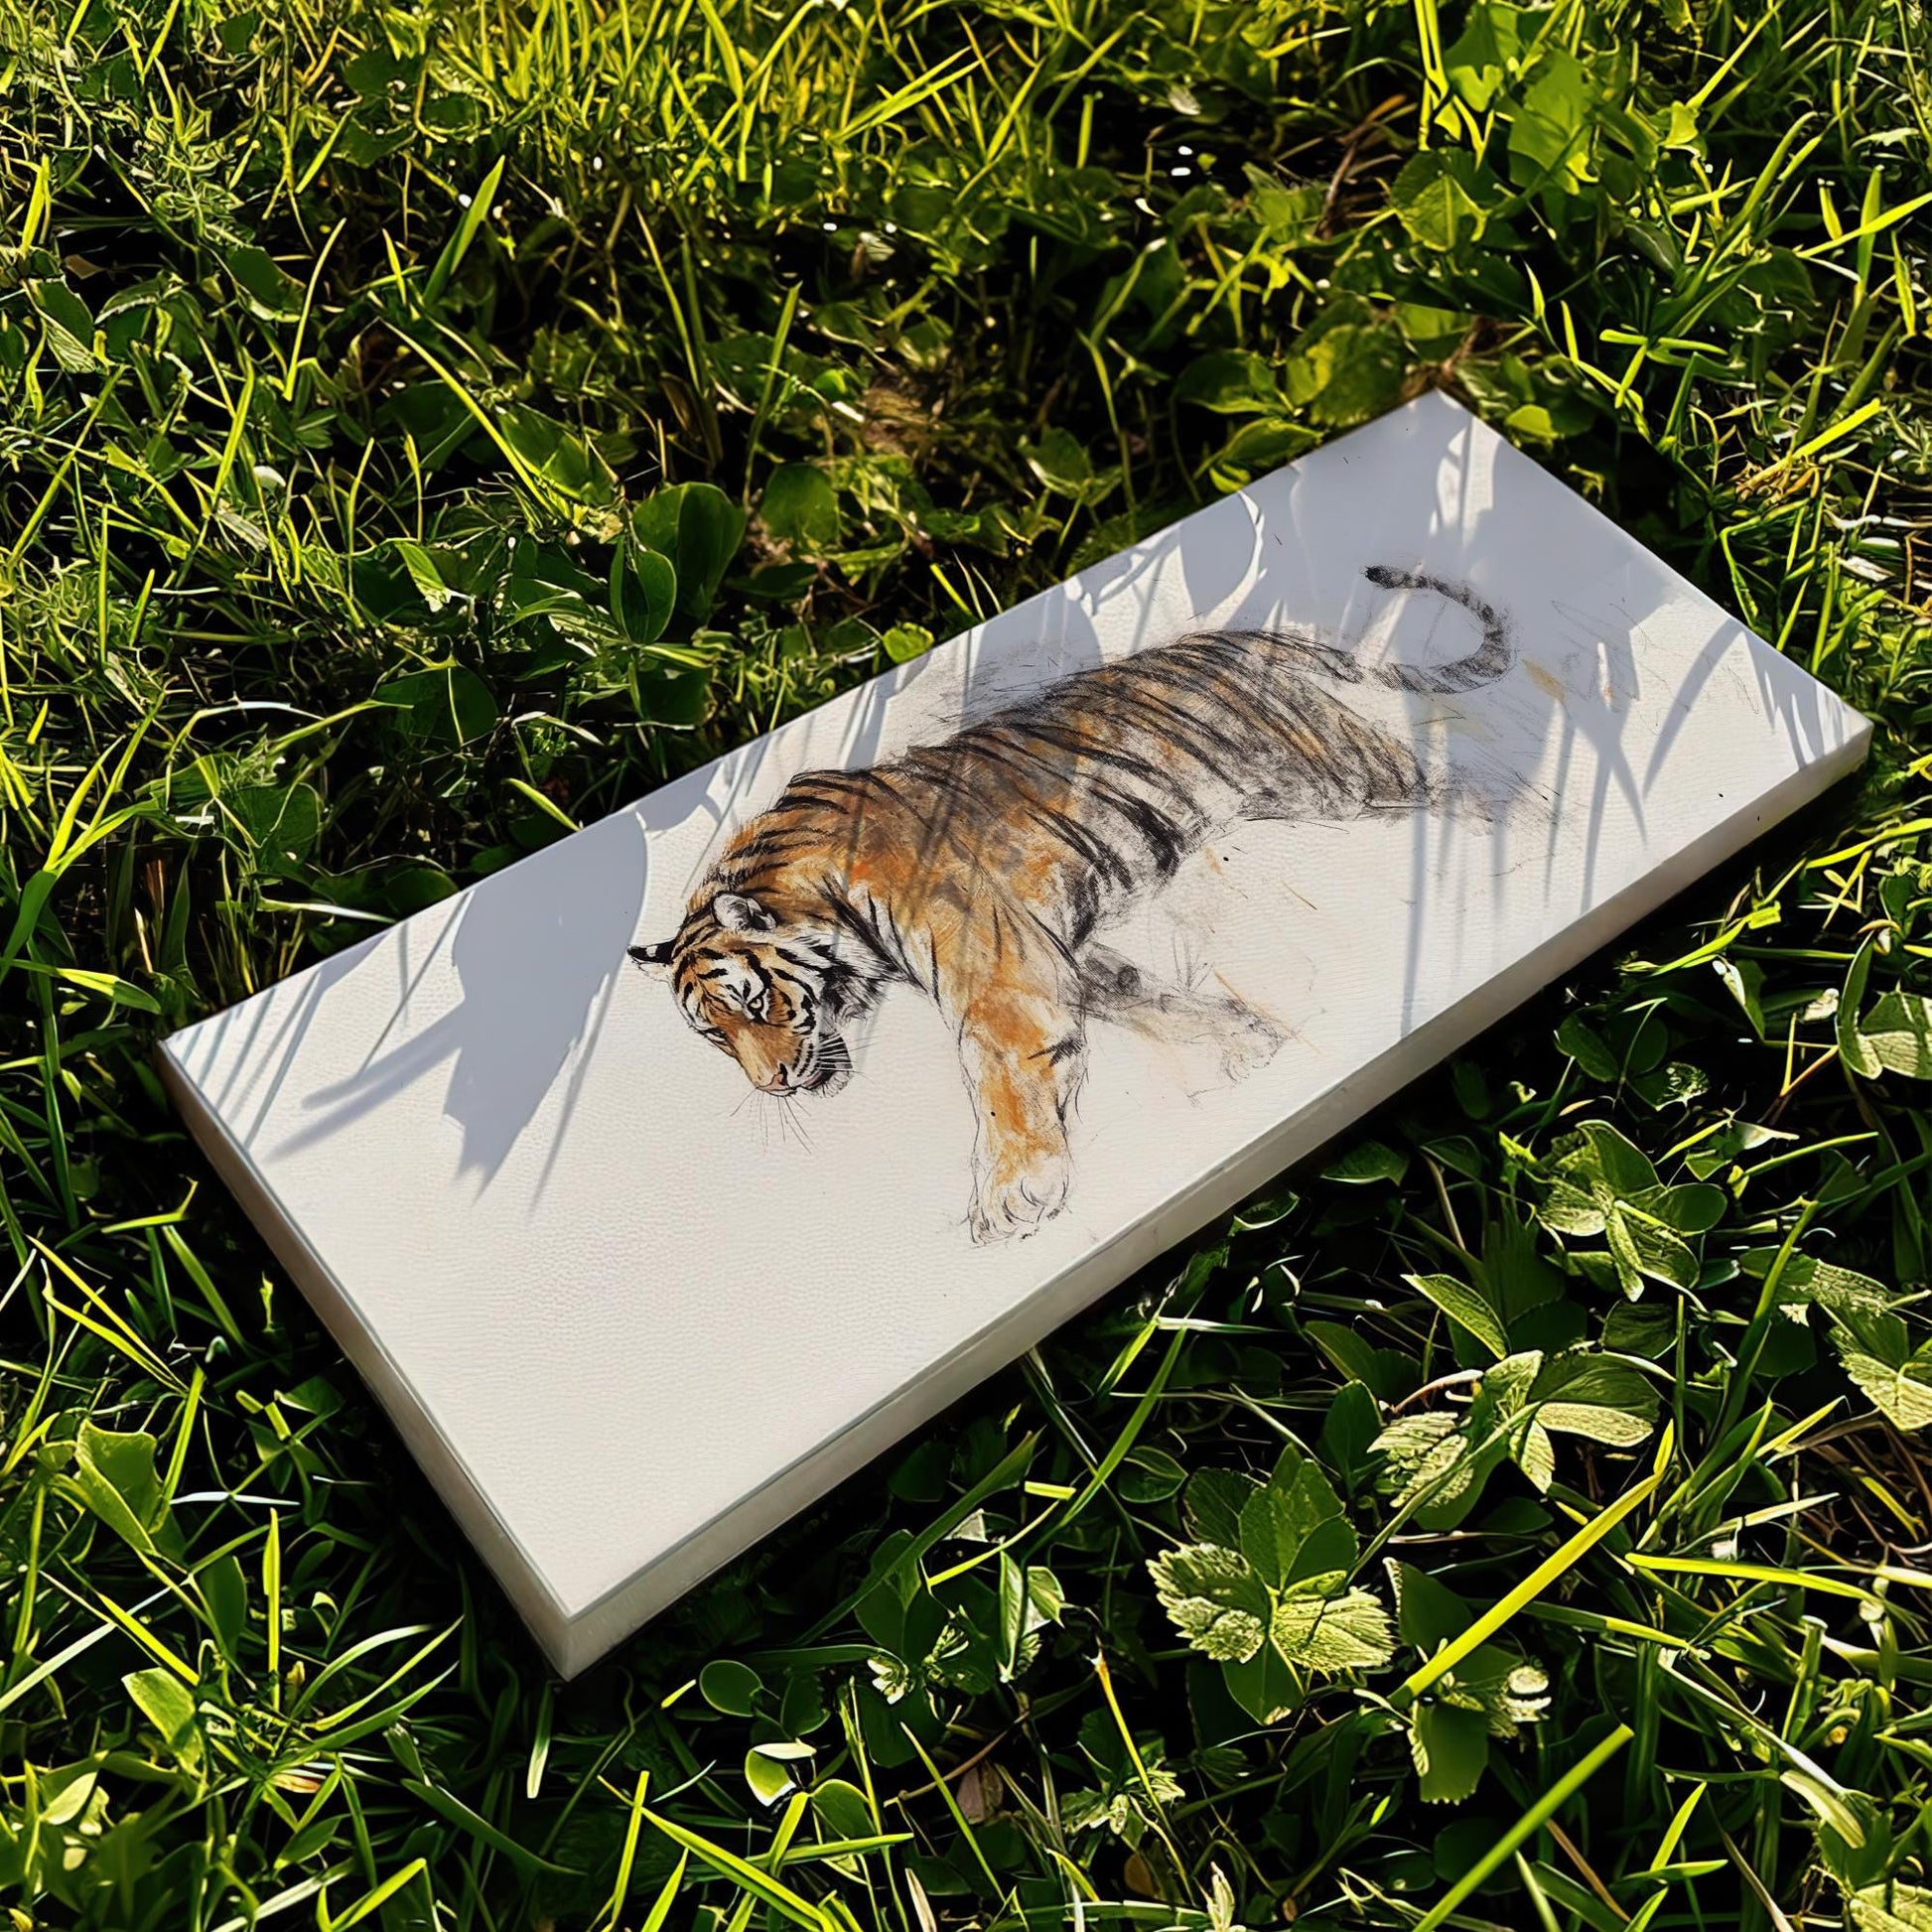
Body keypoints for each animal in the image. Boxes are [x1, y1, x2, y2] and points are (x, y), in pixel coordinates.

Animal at [629, 564, 1511, 1242]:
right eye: (714, 1035)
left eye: (760, 1004)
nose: (772, 1087)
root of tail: (1260, 637)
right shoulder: (1067, 955)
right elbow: (1159, 1002)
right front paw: (1254, 1046)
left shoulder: (1004, 989)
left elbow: (1000, 1090)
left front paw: (1013, 1201)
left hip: (1341, 775)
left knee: (1477, 791)